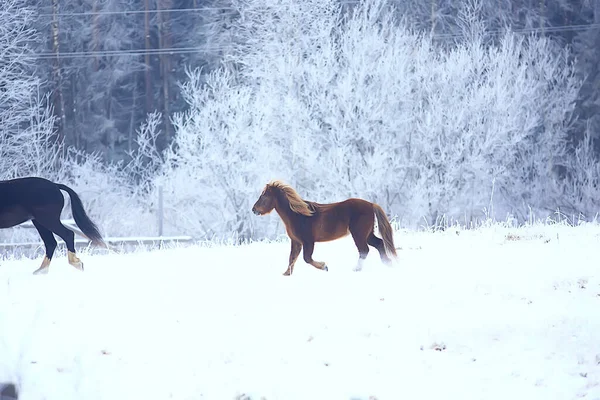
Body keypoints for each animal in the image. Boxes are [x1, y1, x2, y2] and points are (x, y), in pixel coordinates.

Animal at [253, 180, 398, 276]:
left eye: (264, 195)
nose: (254, 210)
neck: (298, 215)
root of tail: (371, 204)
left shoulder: (308, 241)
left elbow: (307, 258)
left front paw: (324, 266)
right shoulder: (296, 241)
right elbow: (292, 258)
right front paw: (286, 274)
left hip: (359, 234)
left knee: (364, 250)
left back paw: (357, 269)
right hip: (367, 234)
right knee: (379, 244)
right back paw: (388, 264)